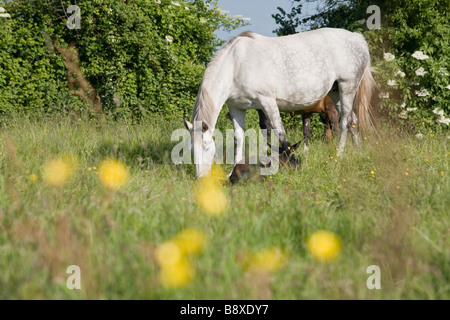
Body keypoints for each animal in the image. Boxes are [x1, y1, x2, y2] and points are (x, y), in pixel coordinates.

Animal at [183, 27, 376, 179]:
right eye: (191, 150)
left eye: (208, 149)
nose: (201, 179)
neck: (236, 63)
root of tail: (357, 38)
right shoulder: (237, 107)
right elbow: (239, 138)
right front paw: (233, 172)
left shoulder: (267, 101)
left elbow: (280, 134)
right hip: (335, 92)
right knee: (353, 121)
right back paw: (359, 153)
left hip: (347, 87)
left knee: (344, 123)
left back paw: (338, 156)